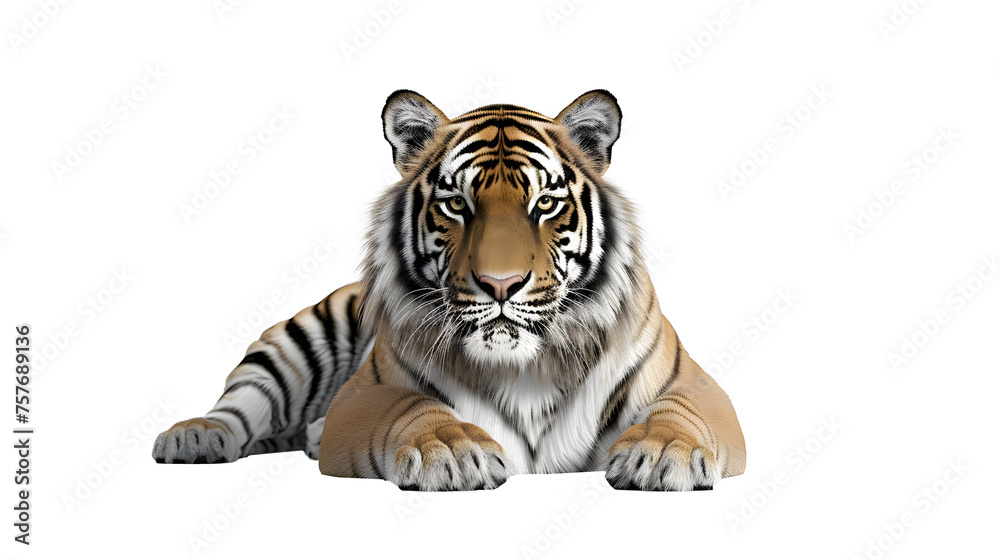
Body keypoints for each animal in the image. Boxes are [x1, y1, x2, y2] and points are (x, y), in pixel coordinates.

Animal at [152, 89, 747, 491]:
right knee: (241, 400)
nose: (501, 284)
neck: (524, 367)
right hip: (297, 339)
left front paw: (661, 454)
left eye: (545, 204)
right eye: (457, 204)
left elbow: (680, 412)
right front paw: (453, 451)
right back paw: (193, 436)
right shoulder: (368, 393)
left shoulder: (696, 386)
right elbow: (412, 407)